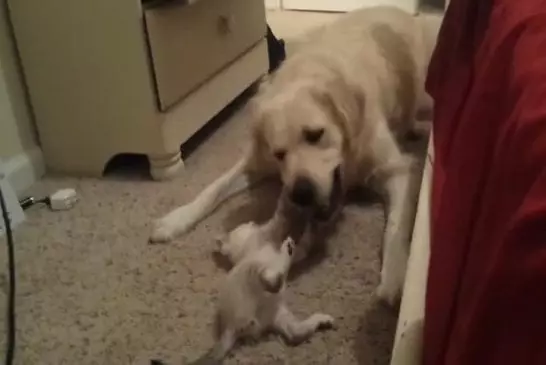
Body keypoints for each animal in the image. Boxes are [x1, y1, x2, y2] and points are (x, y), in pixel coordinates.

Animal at [151, 6, 440, 304]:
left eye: (315, 134)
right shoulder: (257, 160)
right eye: (279, 154)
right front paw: (175, 220)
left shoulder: (397, 170)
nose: (301, 194)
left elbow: (395, 226)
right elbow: (213, 188)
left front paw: (394, 275)